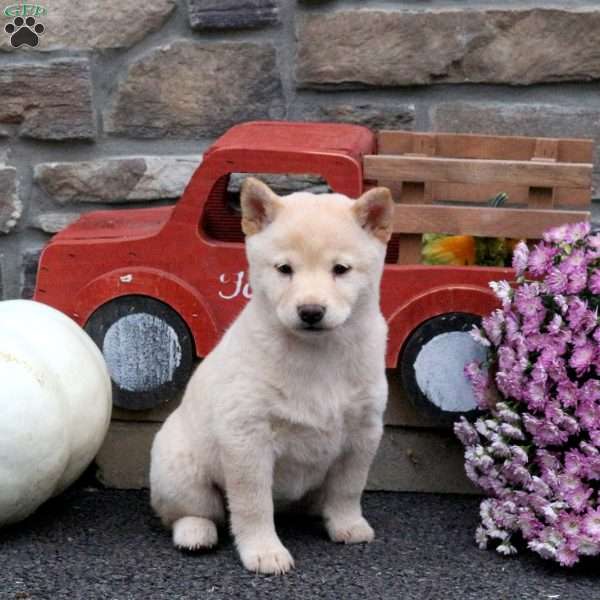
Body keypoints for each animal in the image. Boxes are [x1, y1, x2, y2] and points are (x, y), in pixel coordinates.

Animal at [150, 177, 394, 572]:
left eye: (341, 269)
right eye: (284, 269)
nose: (311, 311)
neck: (318, 355)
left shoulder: (363, 432)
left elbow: (348, 488)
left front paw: (348, 524)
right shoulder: (247, 436)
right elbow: (253, 504)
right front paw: (264, 550)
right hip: (181, 470)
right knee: (193, 512)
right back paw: (195, 534)